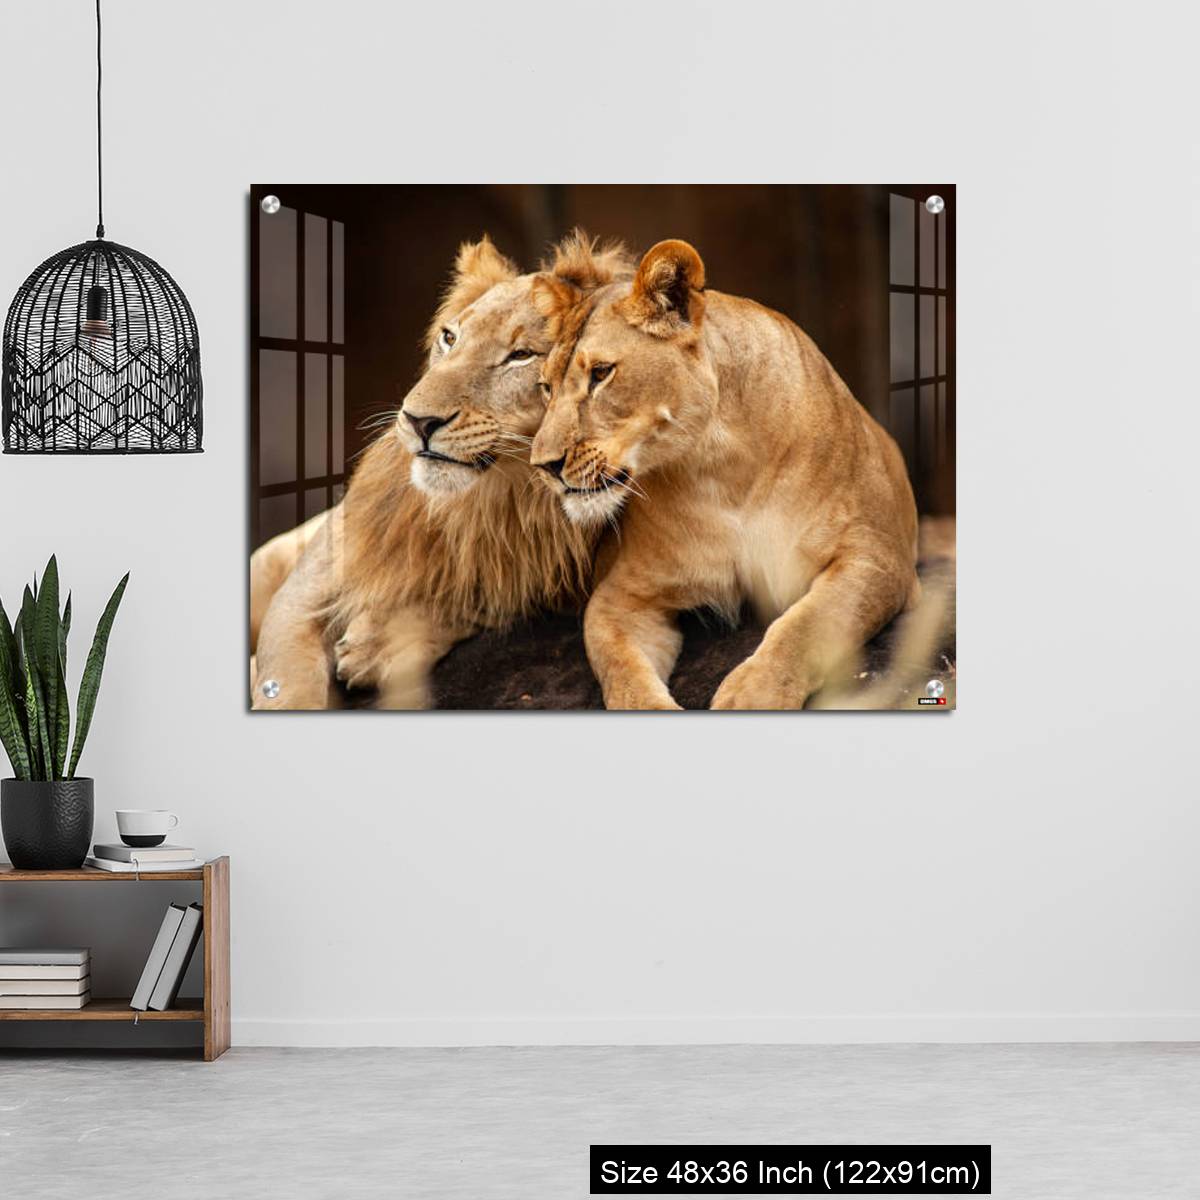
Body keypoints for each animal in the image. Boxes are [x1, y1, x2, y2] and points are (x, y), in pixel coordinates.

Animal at [252, 233, 630, 710]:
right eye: (450, 338)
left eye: (521, 355)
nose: (418, 420)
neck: (496, 497)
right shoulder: (302, 592)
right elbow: (288, 686)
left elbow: (481, 598)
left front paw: (377, 644)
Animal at [529, 238, 920, 710]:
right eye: (546, 388)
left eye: (602, 373)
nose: (542, 465)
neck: (721, 466)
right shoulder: (621, 596)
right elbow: (622, 672)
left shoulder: (878, 556)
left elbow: (807, 625)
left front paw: (752, 695)